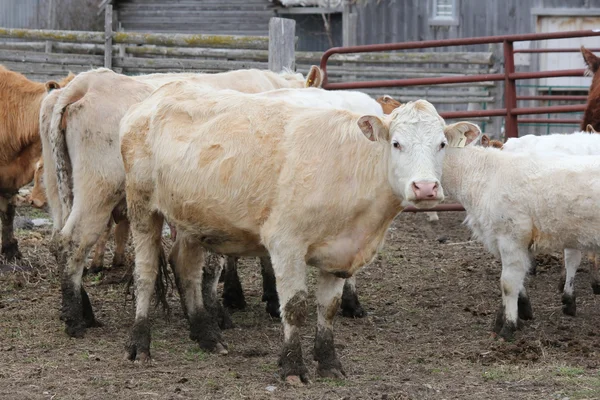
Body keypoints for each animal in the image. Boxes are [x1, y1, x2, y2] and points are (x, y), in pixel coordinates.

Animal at [120, 82, 478, 384]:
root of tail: (161, 93)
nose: (425, 187)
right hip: (142, 208)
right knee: (146, 273)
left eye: (442, 144)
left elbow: (328, 309)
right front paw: (293, 367)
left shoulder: (339, 252)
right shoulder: (286, 244)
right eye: (396, 143)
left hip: (193, 218)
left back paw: (207, 335)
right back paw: (140, 345)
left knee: (187, 268)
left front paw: (329, 363)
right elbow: (294, 307)